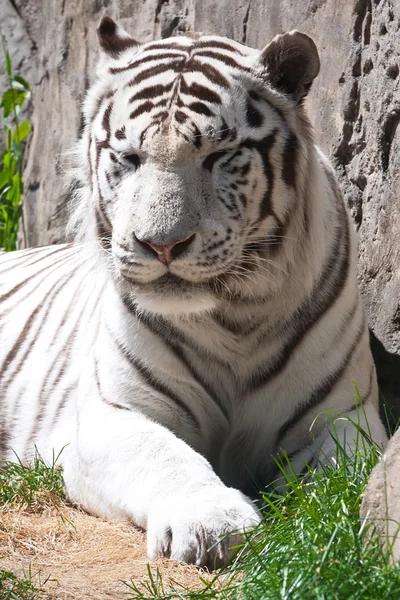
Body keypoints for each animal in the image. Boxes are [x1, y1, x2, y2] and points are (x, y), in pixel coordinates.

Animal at [0, 15, 388, 568]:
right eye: (129, 158)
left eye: (218, 156)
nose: (161, 244)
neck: (235, 317)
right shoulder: (111, 415)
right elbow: (167, 457)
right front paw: (215, 523)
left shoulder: (339, 415)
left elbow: (346, 475)